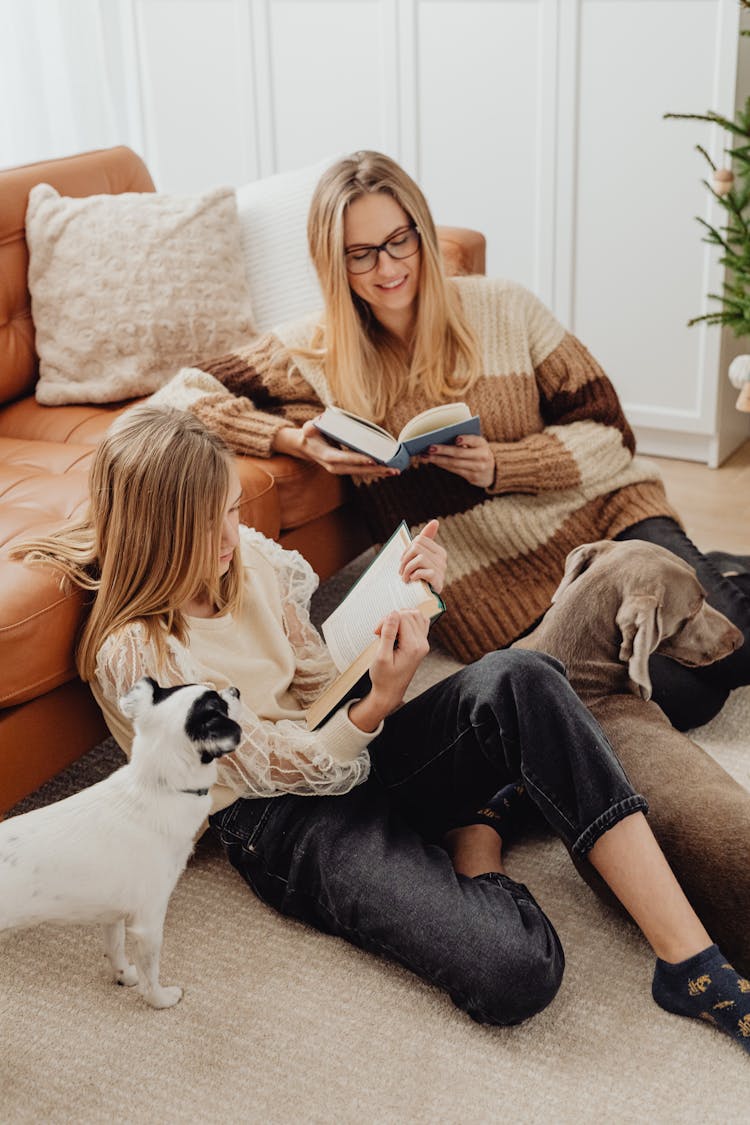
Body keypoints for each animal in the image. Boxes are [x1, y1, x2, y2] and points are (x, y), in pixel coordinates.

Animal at [0, 675, 240, 1012]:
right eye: (221, 705)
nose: (236, 689)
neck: (155, 786)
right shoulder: (149, 923)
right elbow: (151, 973)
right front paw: (160, 1000)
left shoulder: (111, 916)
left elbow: (115, 950)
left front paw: (124, 975)